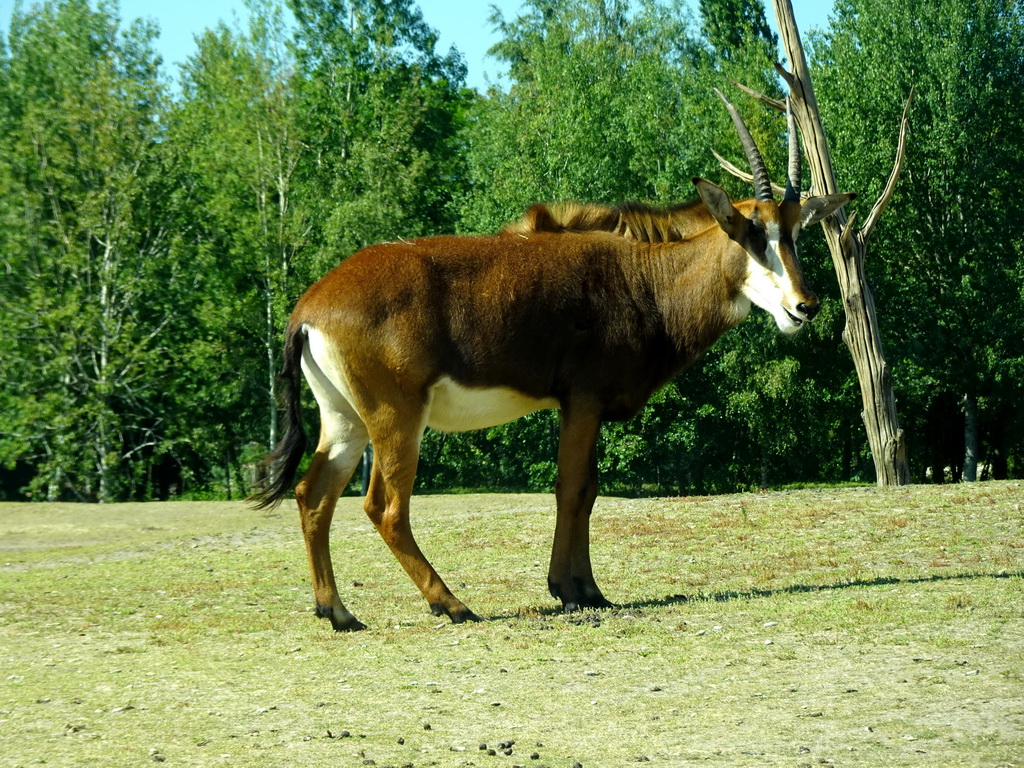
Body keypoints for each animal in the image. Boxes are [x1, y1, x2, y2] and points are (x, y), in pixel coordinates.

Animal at [251, 91, 851, 630]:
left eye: (796, 232)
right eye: (751, 233)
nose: (804, 306)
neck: (646, 276)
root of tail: (308, 307)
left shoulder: (583, 407)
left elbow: (588, 490)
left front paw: (587, 589)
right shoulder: (582, 400)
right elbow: (573, 488)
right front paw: (571, 590)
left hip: (345, 419)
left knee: (312, 495)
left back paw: (338, 612)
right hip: (396, 417)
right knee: (385, 506)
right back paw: (451, 604)